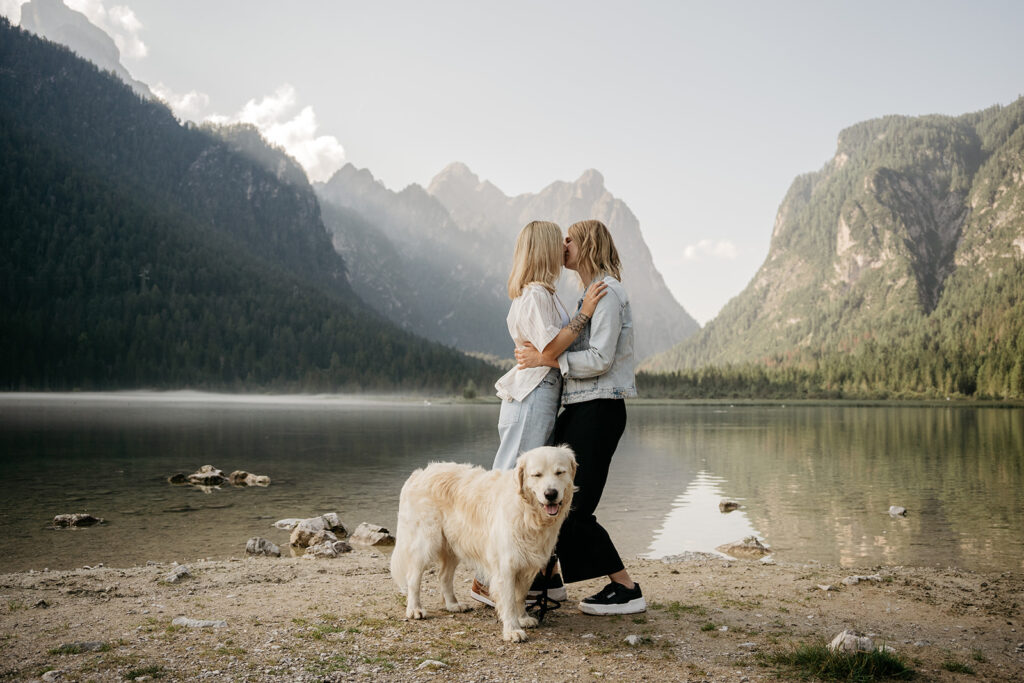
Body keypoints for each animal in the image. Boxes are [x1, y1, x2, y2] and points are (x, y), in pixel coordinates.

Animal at [389, 446, 577, 643]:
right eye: (537, 475)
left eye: (559, 472)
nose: (551, 494)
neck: (527, 511)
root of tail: (419, 473)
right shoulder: (506, 566)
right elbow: (509, 601)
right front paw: (512, 630)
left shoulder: (528, 564)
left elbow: (520, 596)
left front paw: (523, 618)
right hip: (426, 542)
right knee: (413, 578)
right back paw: (415, 609)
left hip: (453, 545)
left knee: (444, 576)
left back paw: (453, 605)